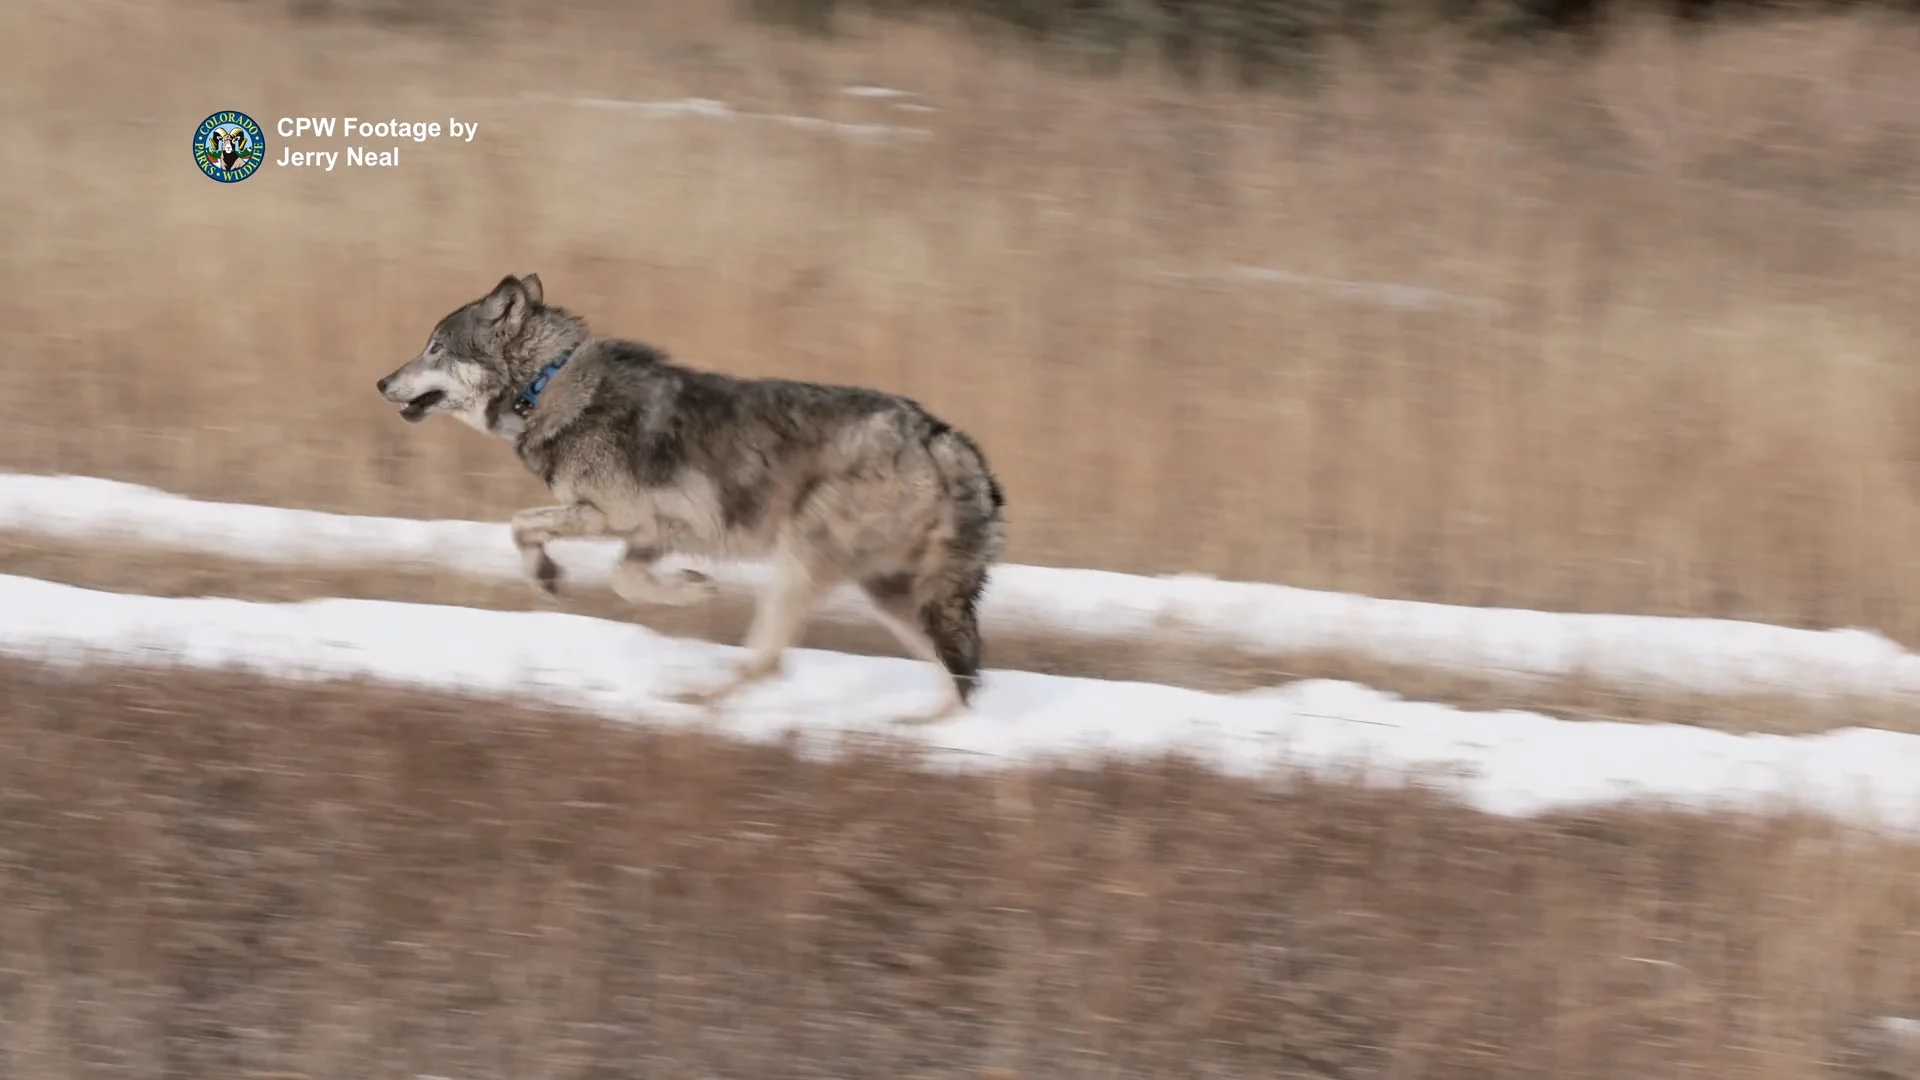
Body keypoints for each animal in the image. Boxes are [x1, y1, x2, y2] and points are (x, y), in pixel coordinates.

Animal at [372, 272, 1006, 718]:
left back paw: (694, 704)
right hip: (891, 596)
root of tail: (942, 435)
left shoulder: (619, 517)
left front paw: (555, 577)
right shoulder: (652, 531)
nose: (380, 382)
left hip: (808, 565)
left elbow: (529, 526)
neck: (546, 385)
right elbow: (614, 571)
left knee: (771, 664)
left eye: (435, 347)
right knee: (960, 683)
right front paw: (682, 587)